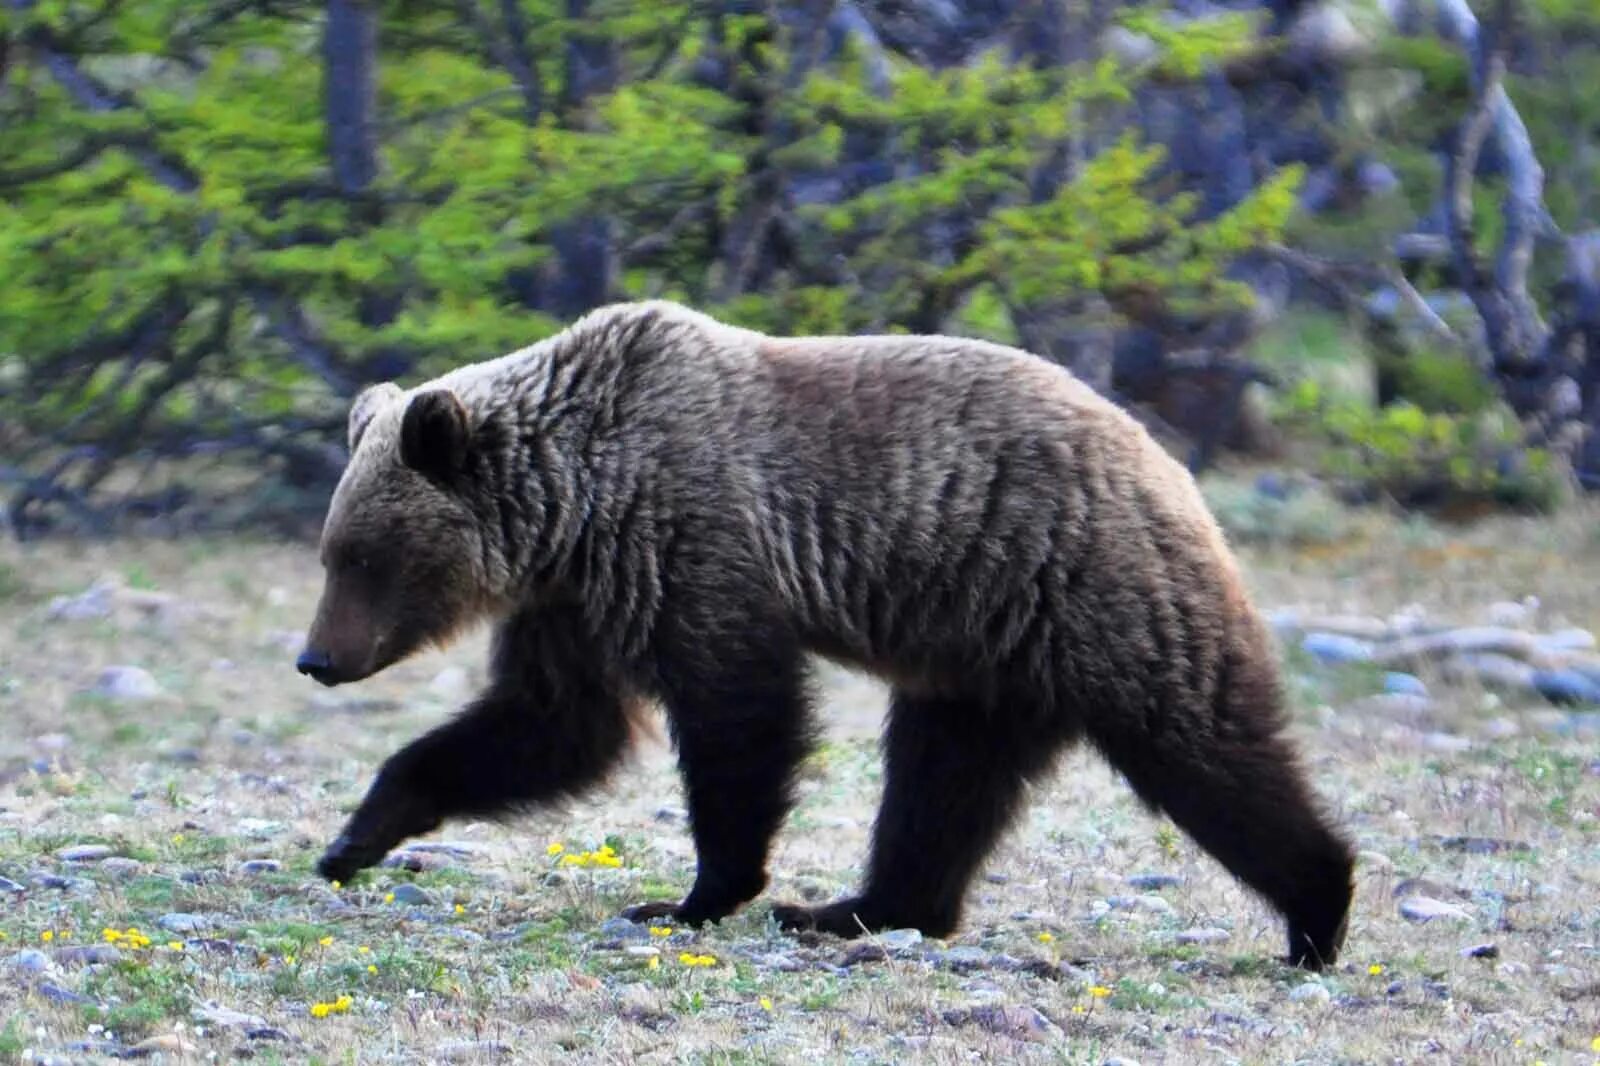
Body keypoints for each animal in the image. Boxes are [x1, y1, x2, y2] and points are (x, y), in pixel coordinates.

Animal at [297, 296, 1350, 960]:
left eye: (363, 556)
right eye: (333, 550)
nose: (317, 658)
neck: (579, 498)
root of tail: (1162, 457)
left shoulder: (692, 542)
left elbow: (738, 718)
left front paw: (691, 896)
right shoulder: (577, 599)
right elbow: (551, 725)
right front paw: (357, 836)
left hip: (1092, 586)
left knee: (1199, 747)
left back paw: (1318, 910)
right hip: (985, 652)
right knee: (943, 782)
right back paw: (856, 909)